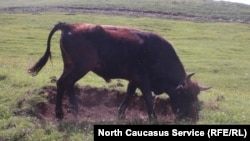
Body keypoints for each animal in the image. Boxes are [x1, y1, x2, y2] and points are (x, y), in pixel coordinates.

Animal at [28, 22, 210, 122]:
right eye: (186, 95)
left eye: (196, 95)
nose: (191, 117)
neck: (158, 53)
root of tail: (69, 25)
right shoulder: (144, 80)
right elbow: (148, 98)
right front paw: (153, 118)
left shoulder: (134, 80)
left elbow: (128, 95)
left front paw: (121, 114)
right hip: (80, 68)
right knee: (67, 83)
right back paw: (72, 111)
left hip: (70, 66)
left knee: (62, 83)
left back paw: (60, 113)